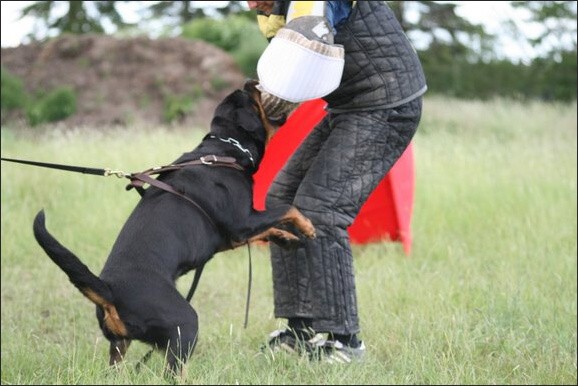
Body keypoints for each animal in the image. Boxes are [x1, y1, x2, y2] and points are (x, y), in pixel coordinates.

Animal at [32, 80, 316, 376]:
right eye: (249, 97)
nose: (250, 82)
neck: (223, 150)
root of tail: (109, 291)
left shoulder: (233, 235)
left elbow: (271, 227)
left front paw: (288, 239)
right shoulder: (241, 222)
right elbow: (286, 209)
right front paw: (306, 227)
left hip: (120, 344)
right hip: (184, 324)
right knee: (173, 371)